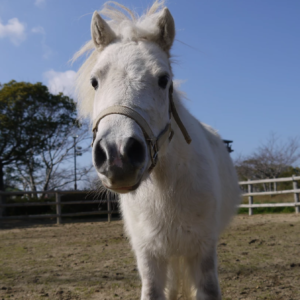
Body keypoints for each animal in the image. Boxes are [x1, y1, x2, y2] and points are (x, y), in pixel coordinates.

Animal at [74, 1, 240, 298]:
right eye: (94, 82)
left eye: (164, 80)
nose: (117, 155)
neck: (165, 189)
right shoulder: (149, 254)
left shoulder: (203, 250)